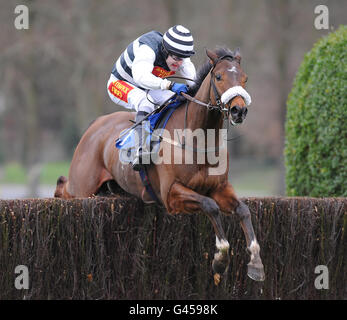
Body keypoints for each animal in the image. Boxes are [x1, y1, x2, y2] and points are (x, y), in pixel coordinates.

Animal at [55, 47, 266, 282]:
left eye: (245, 78)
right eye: (219, 77)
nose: (239, 111)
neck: (197, 139)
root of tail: (95, 125)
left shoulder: (220, 188)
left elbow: (243, 210)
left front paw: (256, 263)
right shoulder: (171, 194)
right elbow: (210, 206)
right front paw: (220, 258)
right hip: (82, 186)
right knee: (63, 186)